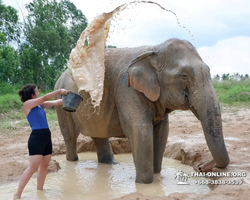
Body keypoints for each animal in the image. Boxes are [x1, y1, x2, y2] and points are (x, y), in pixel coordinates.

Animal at [55, 38, 230, 184]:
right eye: (183, 76)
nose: (200, 167)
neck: (154, 49)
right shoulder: (126, 89)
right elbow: (140, 129)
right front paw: (144, 183)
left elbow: (162, 132)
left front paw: (156, 175)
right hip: (61, 102)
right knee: (70, 136)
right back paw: (72, 162)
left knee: (98, 134)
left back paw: (111, 164)